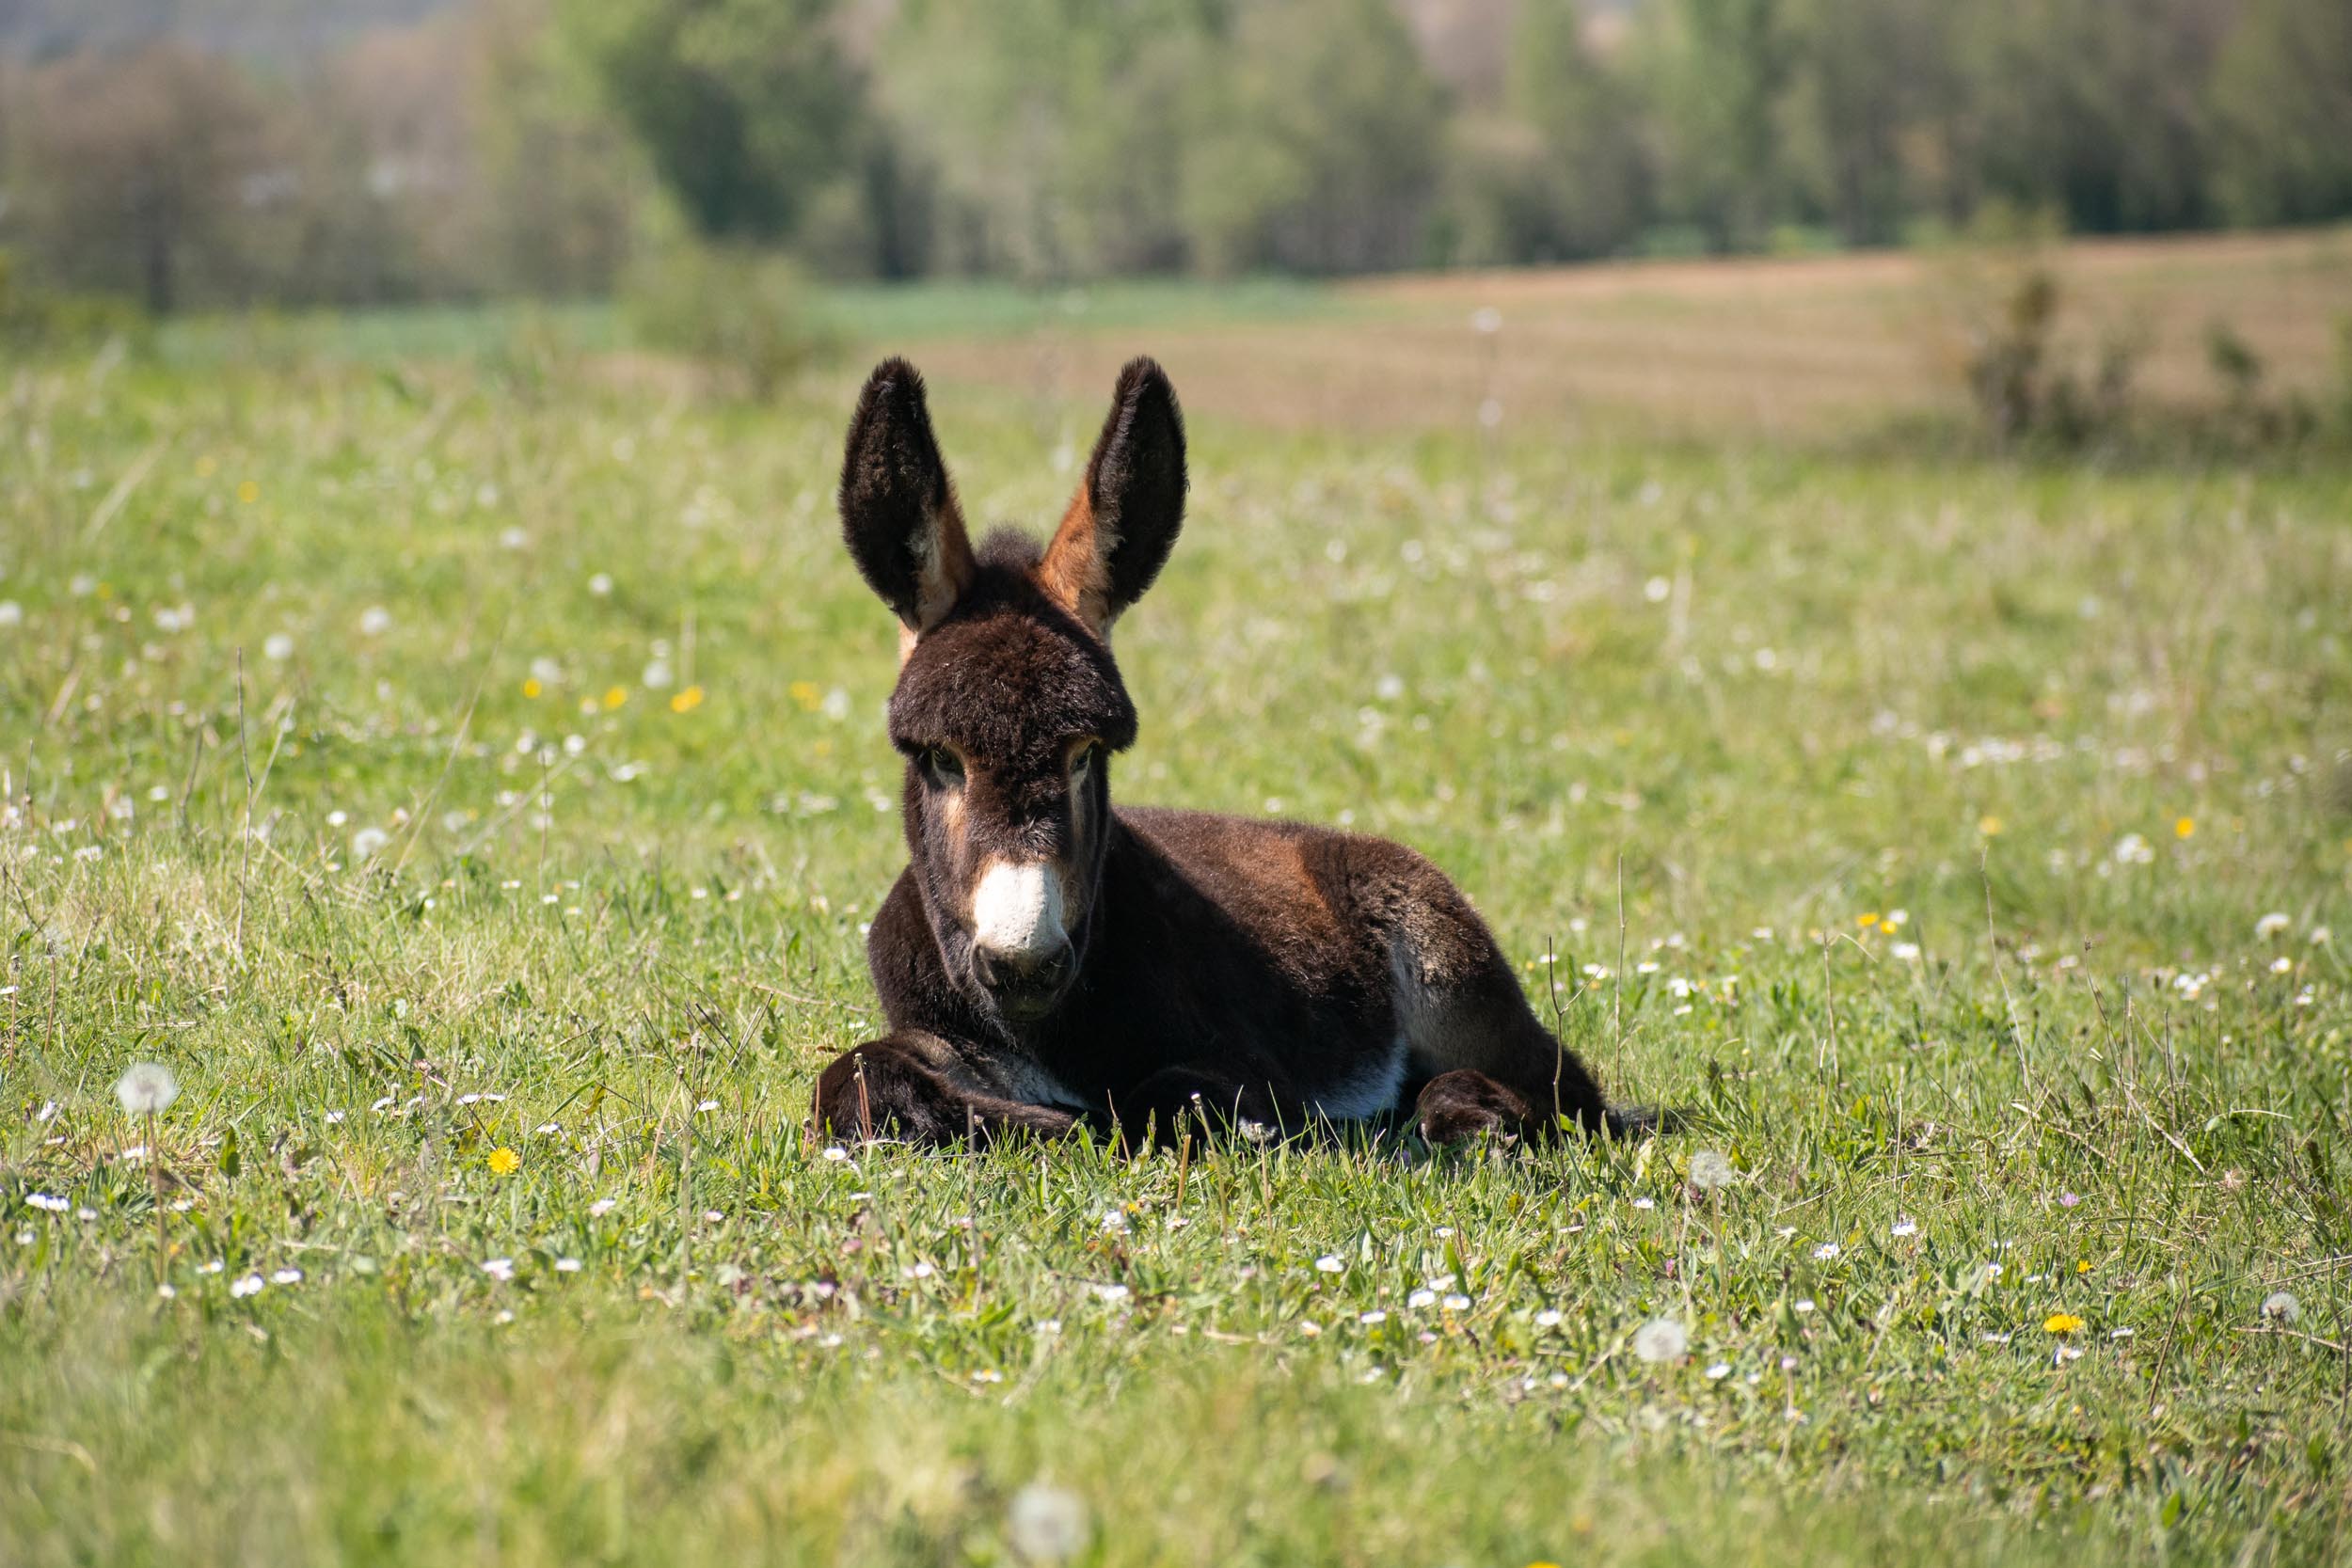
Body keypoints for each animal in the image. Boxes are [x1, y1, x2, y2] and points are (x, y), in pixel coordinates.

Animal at [809, 355, 1637, 1151]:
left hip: (1447, 967)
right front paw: (1006, 1117)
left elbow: (1168, 1098)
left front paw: (1070, 1124)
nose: (1025, 963)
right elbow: (853, 1078)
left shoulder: (1246, 1061)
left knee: (1563, 1087)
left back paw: (1461, 1112)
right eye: (941, 760)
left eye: (1086, 755)